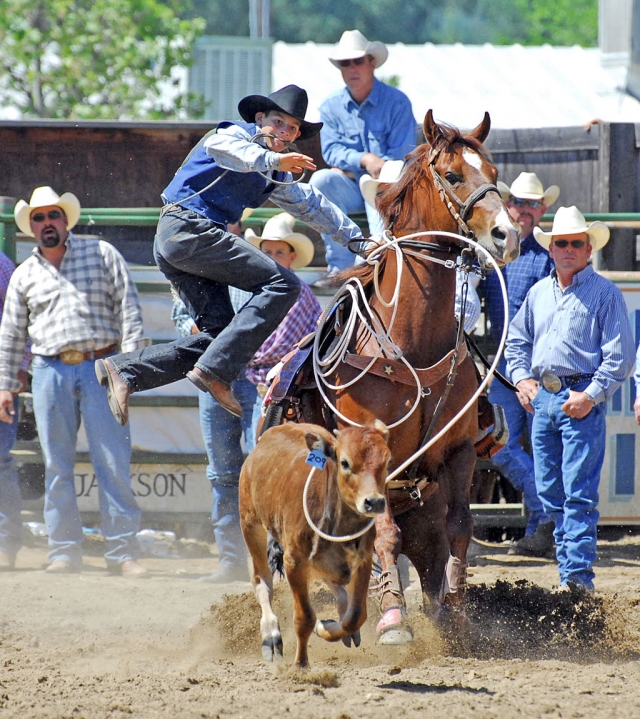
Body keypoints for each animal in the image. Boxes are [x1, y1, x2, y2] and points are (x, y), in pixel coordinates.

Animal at [239, 422, 390, 668]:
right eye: (345, 462)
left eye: (387, 461)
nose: (374, 502)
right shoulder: (294, 562)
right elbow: (305, 618)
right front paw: (301, 664)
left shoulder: (364, 560)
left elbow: (355, 616)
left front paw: (326, 626)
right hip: (251, 524)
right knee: (262, 580)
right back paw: (270, 635)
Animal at [296, 111, 520, 640]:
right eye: (454, 175)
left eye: (494, 173)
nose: (508, 235)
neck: (412, 345)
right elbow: (384, 536)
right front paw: (394, 621)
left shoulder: (459, 453)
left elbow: (461, 528)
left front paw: (455, 613)